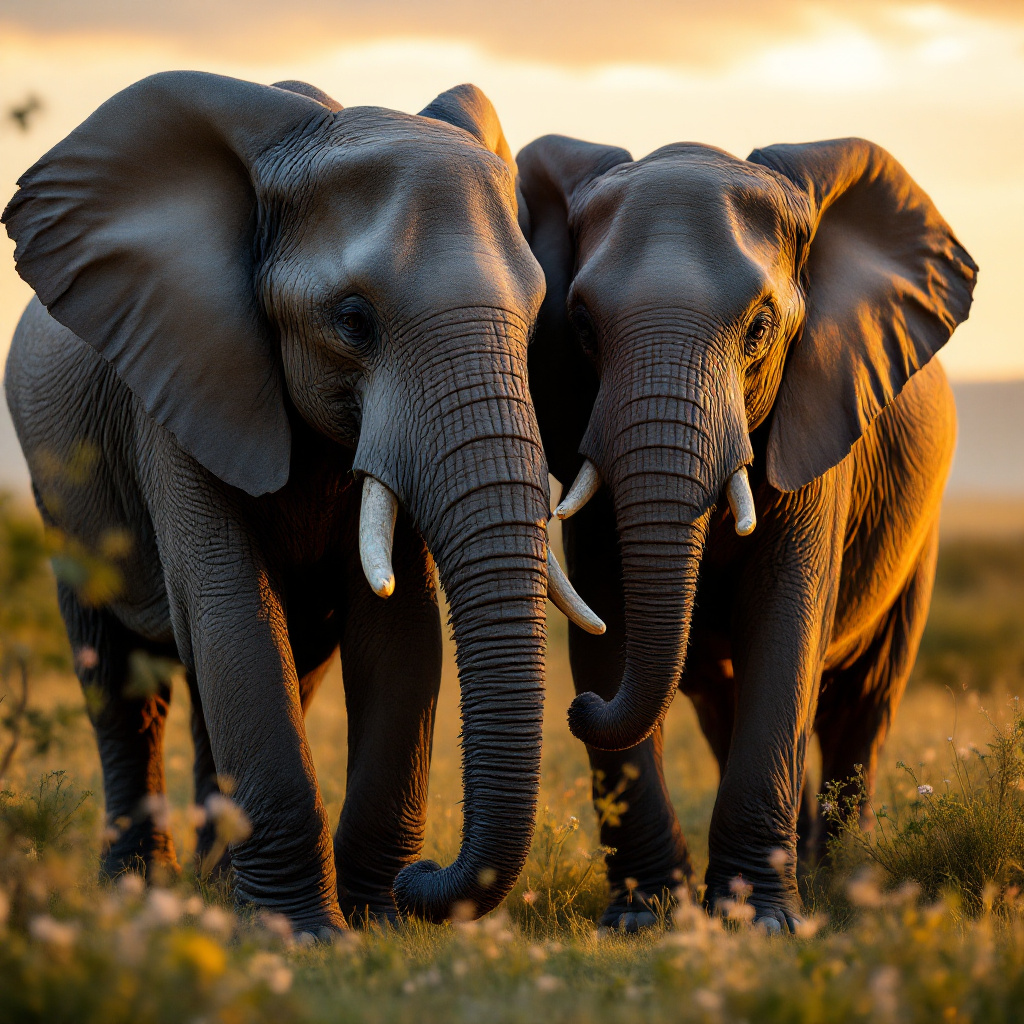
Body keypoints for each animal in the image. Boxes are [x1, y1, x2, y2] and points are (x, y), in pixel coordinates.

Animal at [4, 72, 602, 933]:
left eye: (533, 320)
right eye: (353, 321)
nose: (425, 877)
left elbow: (401, 631)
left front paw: (374, 921)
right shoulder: (178, 383)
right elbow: (231, 611)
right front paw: (305, 937)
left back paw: (215, 888)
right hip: (60, 491)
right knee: (122, 686)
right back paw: (141, 890)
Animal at [520, 132, 974, 933]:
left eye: (760, 329)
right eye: (581, 326)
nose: (577, 711)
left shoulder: (821, 411)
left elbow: (784, 619)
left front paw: (763, 924)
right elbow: (608, 618)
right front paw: (645, 921)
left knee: (863, 705)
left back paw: (839, 881)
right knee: (721, 704)